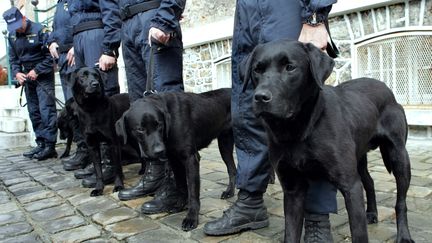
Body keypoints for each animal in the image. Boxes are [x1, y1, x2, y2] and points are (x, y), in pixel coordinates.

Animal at [71, 67, 130, 196]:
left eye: (97, 76)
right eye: (83, 76)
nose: (95, 84)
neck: (92, 108)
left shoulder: (113, 142)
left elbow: (117, 167)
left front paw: (118, 186)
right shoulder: (92, 145)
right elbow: (98, 170)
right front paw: (98, 188)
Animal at [115, 88, 236, 231]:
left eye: (159, 124)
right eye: (140, 129)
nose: (159, 150)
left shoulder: (191, 159)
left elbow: (193, 191)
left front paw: (191, 217)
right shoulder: (174, 159)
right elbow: (181, 185)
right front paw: (180, 205)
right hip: (224, 144)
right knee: (232, 170)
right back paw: (229, 192)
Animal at [243, 39, 416, 243]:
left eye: (290, 67)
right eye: (257, 70)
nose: (260, 97)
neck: (297, 130)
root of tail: (386, 88)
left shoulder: (350, 186)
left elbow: (359, 233)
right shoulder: (293, 190)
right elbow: (291, 233)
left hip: (398, 157)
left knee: (401, 202)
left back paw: (403, 235)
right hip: (359, 159)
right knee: (370, 181)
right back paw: (372, 213)